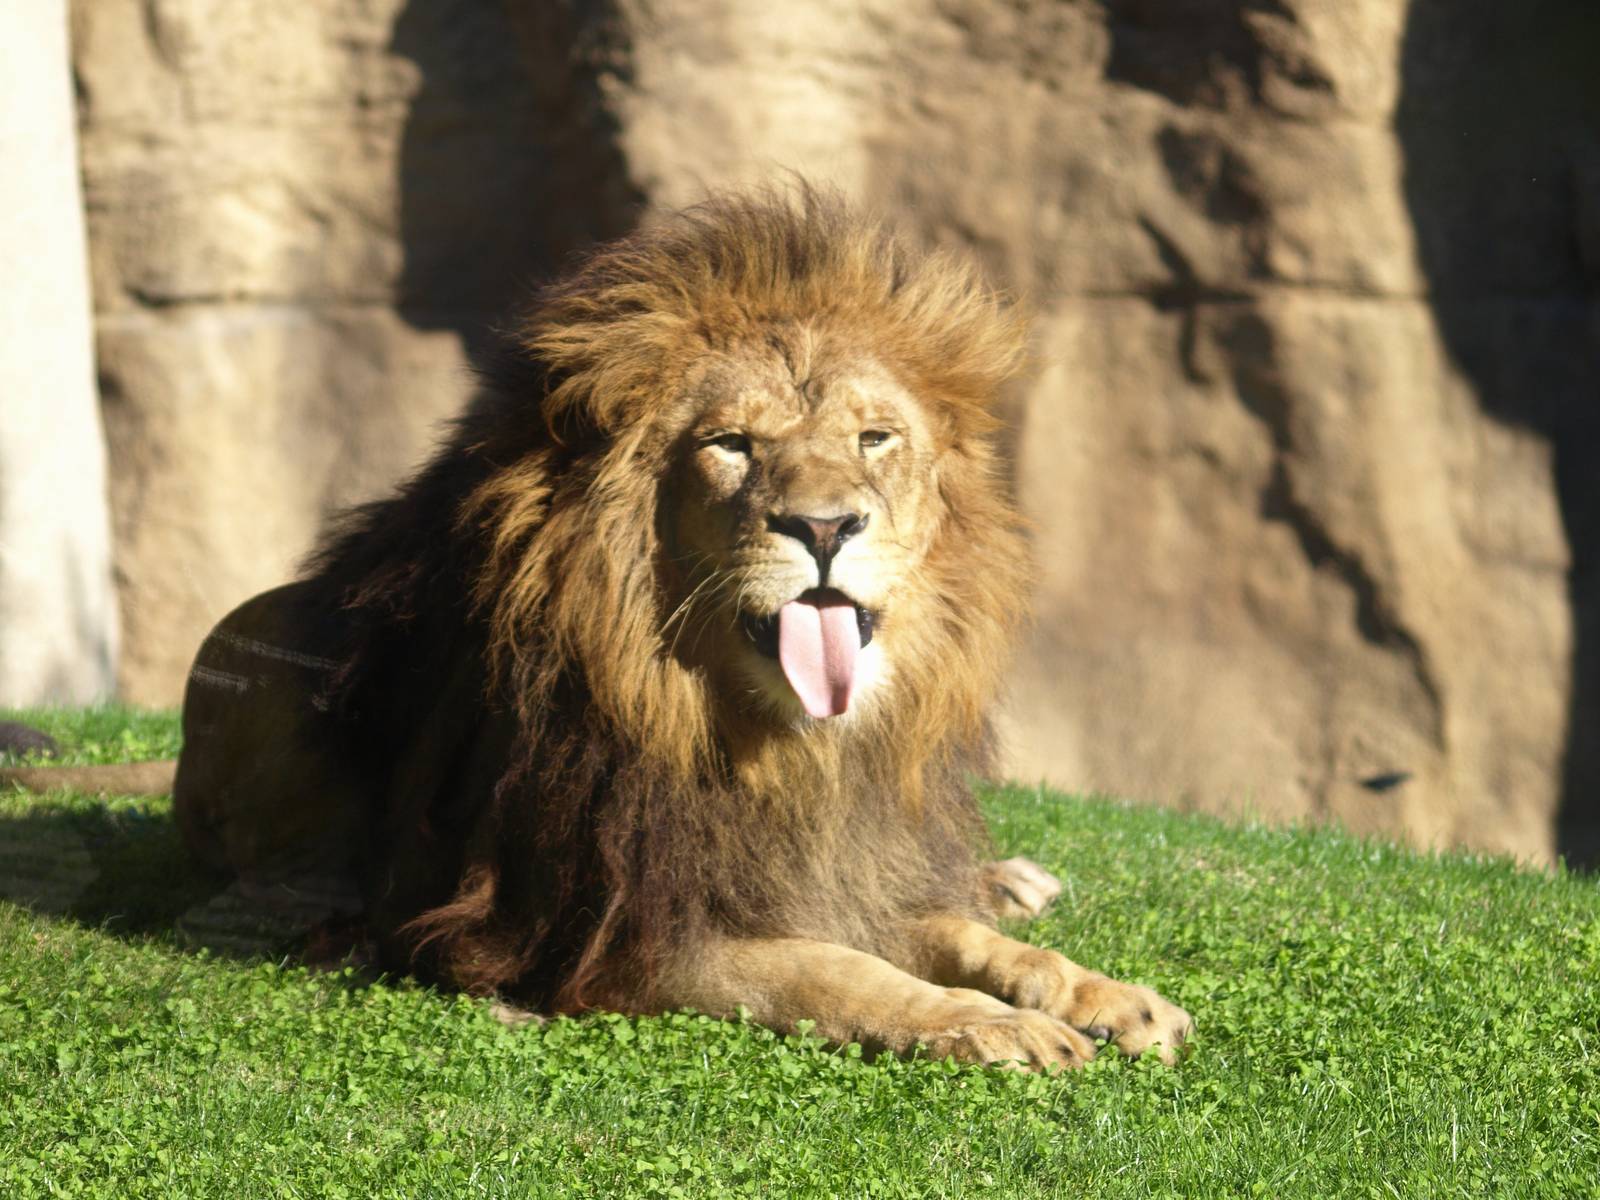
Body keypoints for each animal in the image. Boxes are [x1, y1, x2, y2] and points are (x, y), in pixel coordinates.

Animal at [171, 186, 1193, 1070]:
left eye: (874, 439)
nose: (826, 527)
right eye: (731, 445)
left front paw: (1108, 995)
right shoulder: (627, 932)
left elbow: (968, 938)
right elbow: (838, 970)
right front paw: (986, 1025)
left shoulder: (834, 860)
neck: (782, 748)